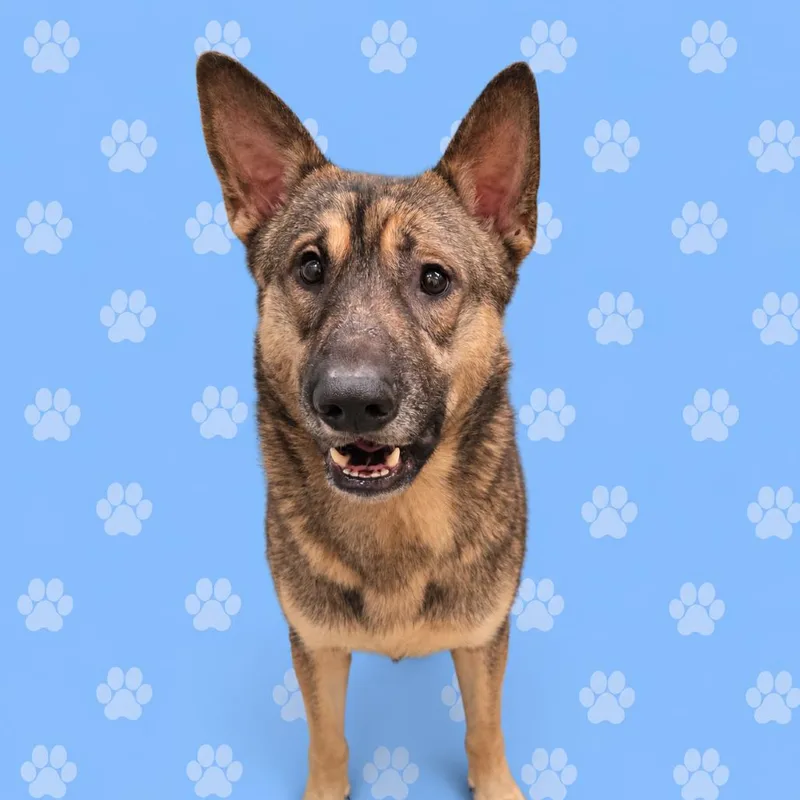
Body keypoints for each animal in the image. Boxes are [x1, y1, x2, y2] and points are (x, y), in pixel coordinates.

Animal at [196, 52, 540, 799]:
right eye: (309, 267)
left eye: (433, 279)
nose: (351, 403)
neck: (395, 524)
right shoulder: (317, 646)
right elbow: (327, 741)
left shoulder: (482, 639)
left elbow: (485, 729)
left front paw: (495, 783)